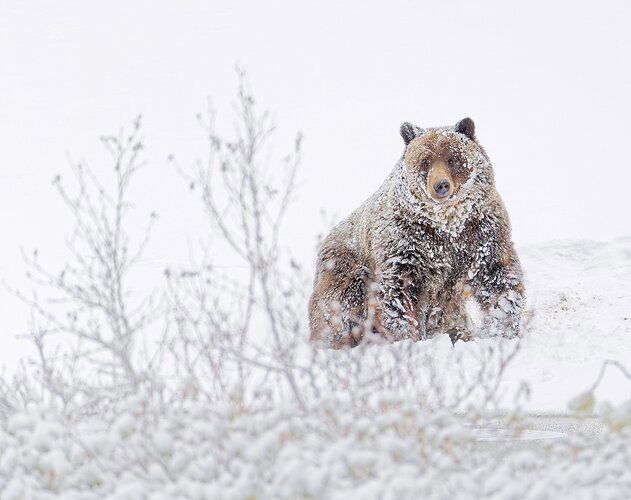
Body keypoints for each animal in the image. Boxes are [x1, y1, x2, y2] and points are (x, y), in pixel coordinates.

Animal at [310, 119, 524, 350]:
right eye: (425, 161)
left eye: (452, 158)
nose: (441, 185)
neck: (447, 224)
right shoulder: (405, 243)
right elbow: (401, 293)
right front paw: (408, 338)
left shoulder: (480, 232)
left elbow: (497, 278)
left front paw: (505, 328)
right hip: (343, 267)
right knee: (344, 303)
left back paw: (458, 332)